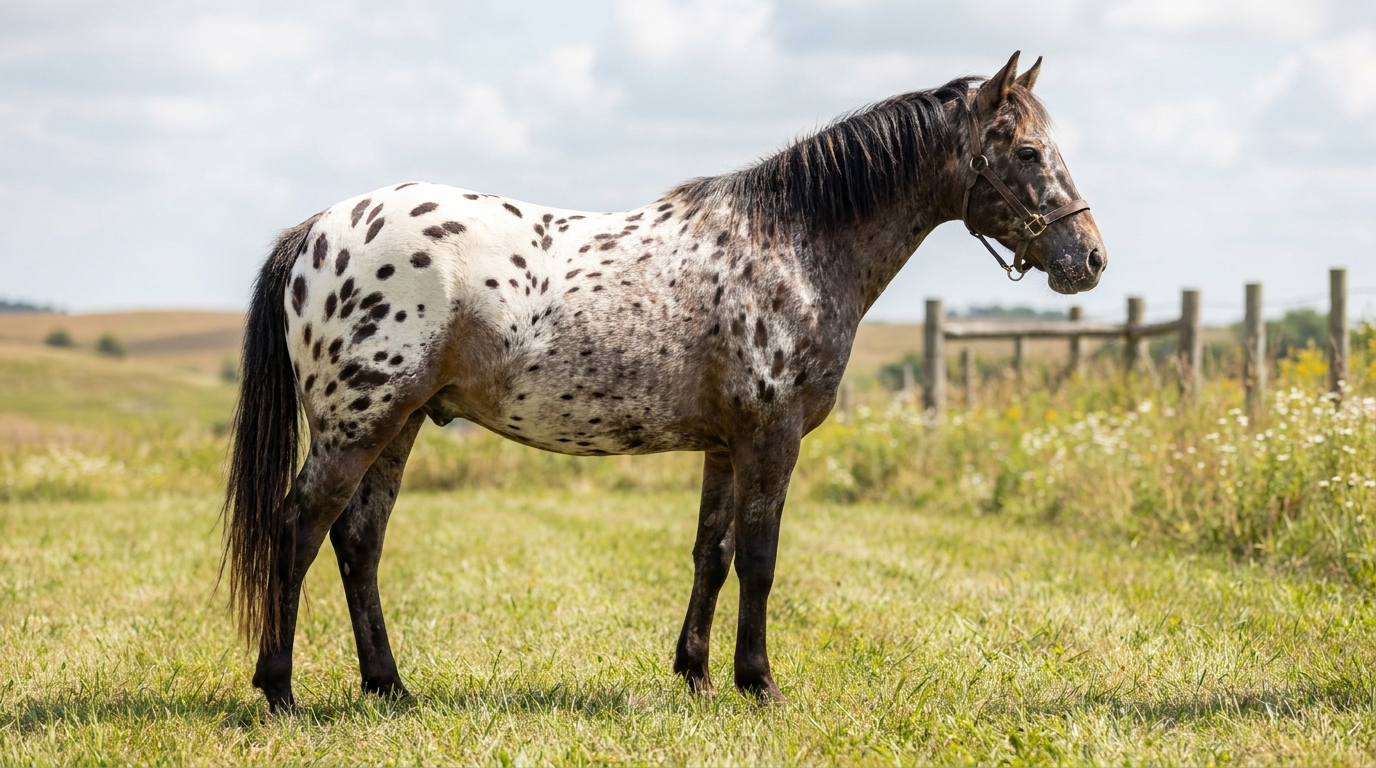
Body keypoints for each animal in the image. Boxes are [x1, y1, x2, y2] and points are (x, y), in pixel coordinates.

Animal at [223, 51, 1106, 713]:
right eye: (1028, 153)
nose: (1090, 258)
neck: (792, 243)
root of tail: (317, 230)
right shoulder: (770, 439)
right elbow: (760, 558)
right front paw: (759, 683)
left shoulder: (724, 446)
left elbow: (710, 554)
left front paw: (698, 674)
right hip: (357, 425)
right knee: (298, 530)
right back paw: (281, 692)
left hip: (399, 423)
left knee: (358, 540)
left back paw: (389, 686)